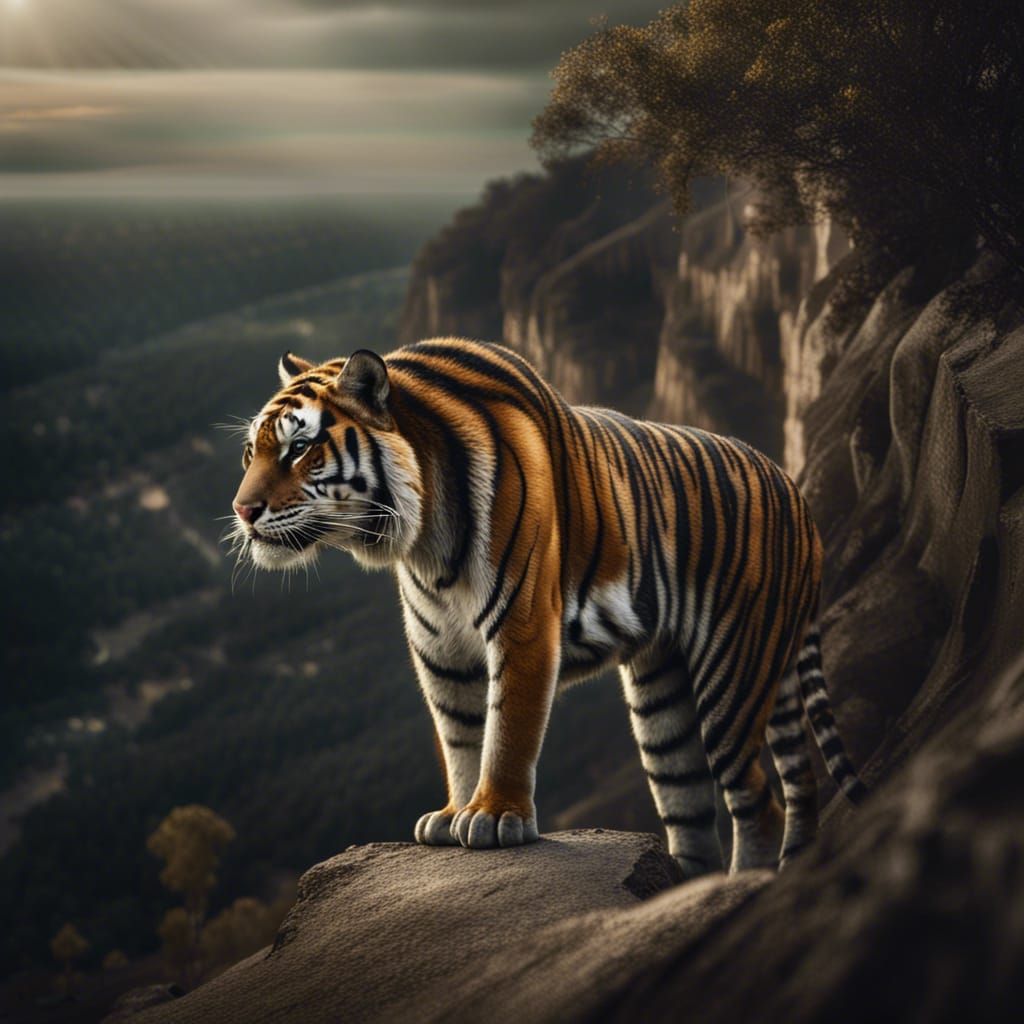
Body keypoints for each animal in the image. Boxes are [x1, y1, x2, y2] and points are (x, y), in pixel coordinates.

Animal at [231, 337, 865, 877]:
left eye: (300, 448)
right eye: (249, 452)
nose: (242, 511)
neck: (423, 542)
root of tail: (798, 494)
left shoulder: (523, 625)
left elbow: (508, 728)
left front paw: (493, 816)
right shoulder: (440, 651)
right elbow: (460, 736)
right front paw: (453, 813)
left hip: (732, 671)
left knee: (760, 801)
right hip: (663, 695)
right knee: (701, 805)